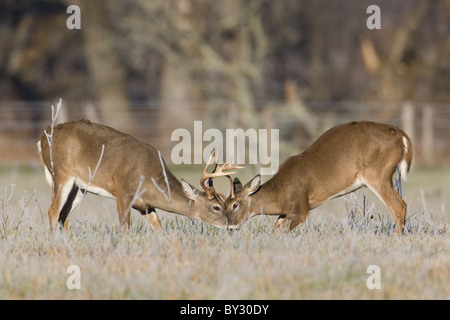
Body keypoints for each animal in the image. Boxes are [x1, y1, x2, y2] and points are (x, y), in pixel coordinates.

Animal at [37, 119, 241, 231]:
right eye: (216, 207)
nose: (232, 226)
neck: (149, 178)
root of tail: (42, 138)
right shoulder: (123, 192)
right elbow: (124, 228)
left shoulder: (145, 205)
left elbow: (159, 228)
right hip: (62, 174)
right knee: (53, 211)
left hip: (79, 187)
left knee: (63, 215)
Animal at [227, 121, 414, 234]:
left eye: (234, 205)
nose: (230, 227)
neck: (279, 192)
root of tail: (401, 136)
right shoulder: (286, 212)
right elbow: (275, 230)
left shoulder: (301, 207)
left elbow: (282, 231)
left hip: (377, 174)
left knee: (399, 206)